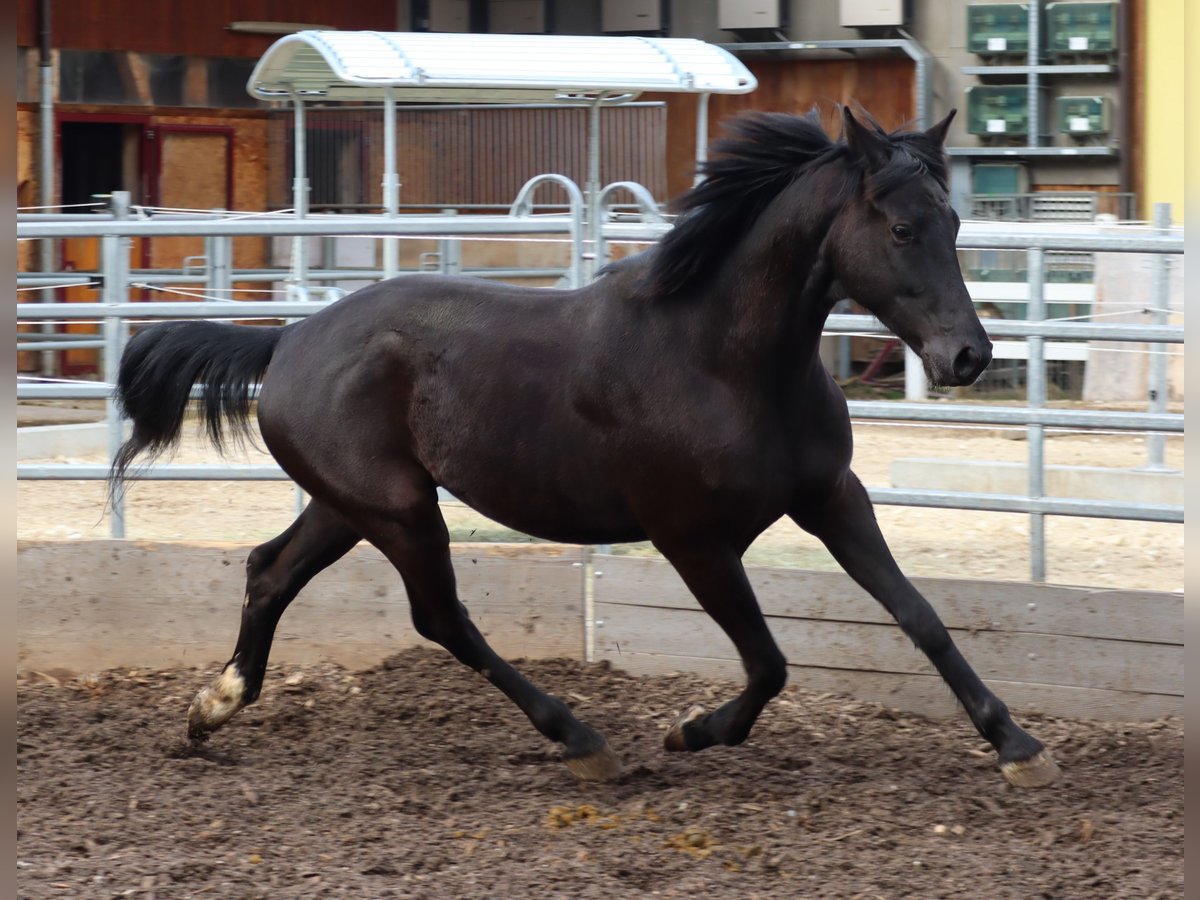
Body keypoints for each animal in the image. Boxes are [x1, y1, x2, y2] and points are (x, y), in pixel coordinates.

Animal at [112, 109, 1060, 787]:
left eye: (954, 221)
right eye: (901, 229)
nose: (969, 356)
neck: (725, 359)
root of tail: (290, 338)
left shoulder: (831, 496)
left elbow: (919, 615)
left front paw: (1017, 744)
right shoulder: (693, 539)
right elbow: (768, 662)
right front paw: (689, 731)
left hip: (350, 506)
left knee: (270, 570)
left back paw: (213, 707)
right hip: (401, 513)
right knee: (440, 618)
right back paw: (582, 738)